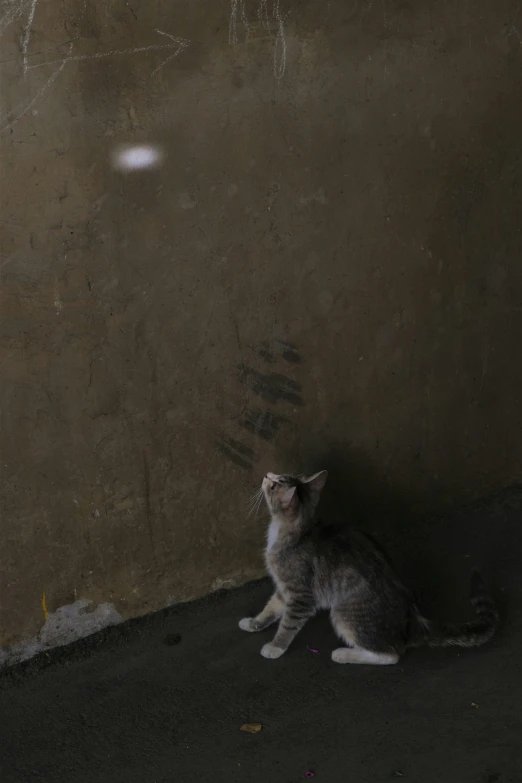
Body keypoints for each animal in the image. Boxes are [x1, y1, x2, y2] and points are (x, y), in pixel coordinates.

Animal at [240, 472, 496, 668]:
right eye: (275, 477)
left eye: (275, 484)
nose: (266, 474)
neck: (291, 533)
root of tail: (413, 621)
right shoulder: (285, 588)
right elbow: (271, 607)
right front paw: (254, 623)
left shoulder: (300, 594)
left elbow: (288, 624)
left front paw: (276, 647)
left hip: (343, 612)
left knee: (390, 655)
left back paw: (344, 653)